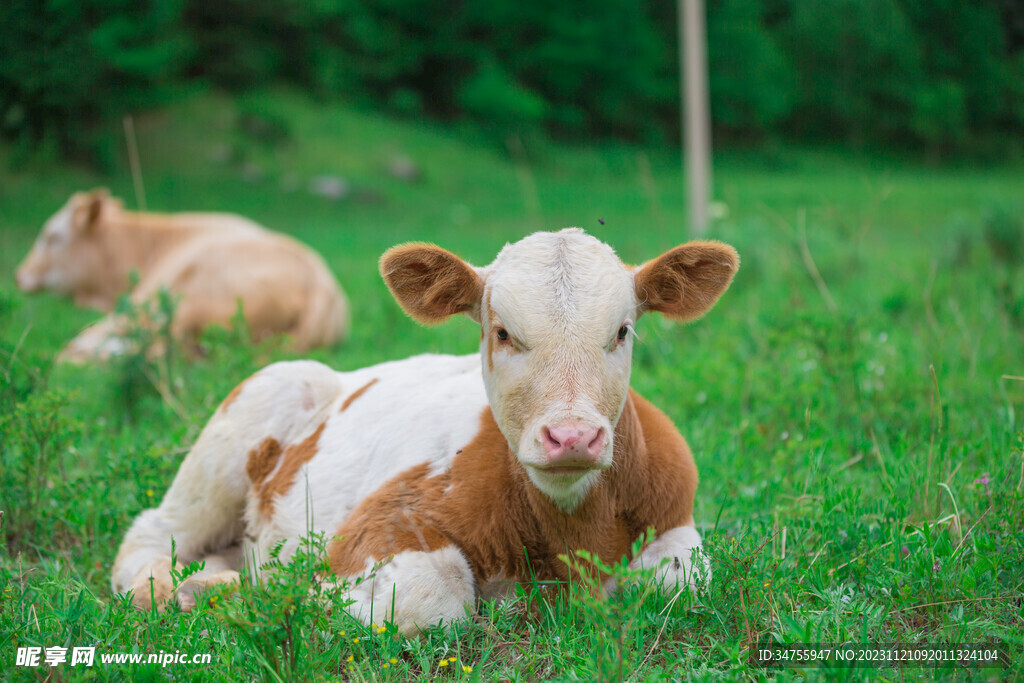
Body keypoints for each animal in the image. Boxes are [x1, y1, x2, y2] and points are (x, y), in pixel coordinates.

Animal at [110, 229, 737, 634]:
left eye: (623, 331)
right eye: (502, 332)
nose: (572, 438)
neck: (574, 535)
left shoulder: (673, 515)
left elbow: (683, 580)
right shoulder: (379, 525)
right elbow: (433, 596)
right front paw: (294, 595)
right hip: (242, 426)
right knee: (150, 536)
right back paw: (175, 589)